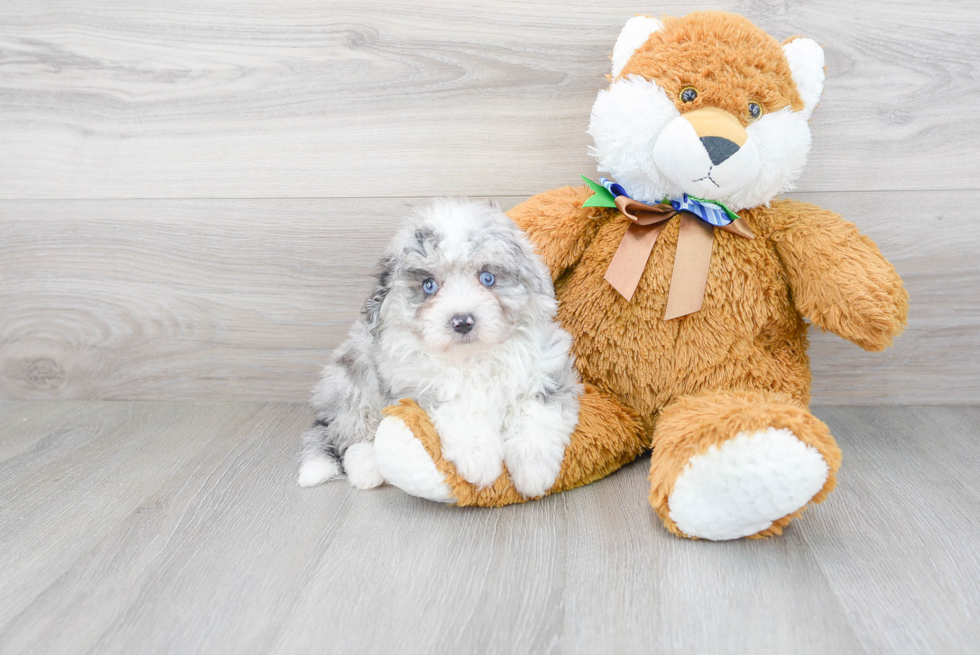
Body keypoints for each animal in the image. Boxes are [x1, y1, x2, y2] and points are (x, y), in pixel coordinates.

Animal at [298, 197, 580, 500]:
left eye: (488, 278)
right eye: (428, 285)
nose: (462, 321)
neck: (472, 358)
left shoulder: (549, 368)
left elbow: (536, 410)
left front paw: (534, 472)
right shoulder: (413, 387)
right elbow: (458, 409)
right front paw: (479, 462)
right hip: (352, 377)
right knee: (351, 432)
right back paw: (367, 470)